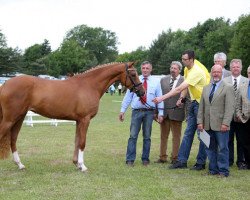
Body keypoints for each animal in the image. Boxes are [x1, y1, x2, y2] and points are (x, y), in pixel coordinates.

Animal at [0, 62, 145, 172]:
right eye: (133, 74)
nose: (142, 92)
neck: (89, 85)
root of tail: (5, 84)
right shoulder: (85, 120)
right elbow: (82, 142)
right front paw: (83, 166)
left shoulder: (78, 121)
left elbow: (77, 141)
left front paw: (77, 164)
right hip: (10, 119)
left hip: (19, 118)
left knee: (13, 139)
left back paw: (20, 164)